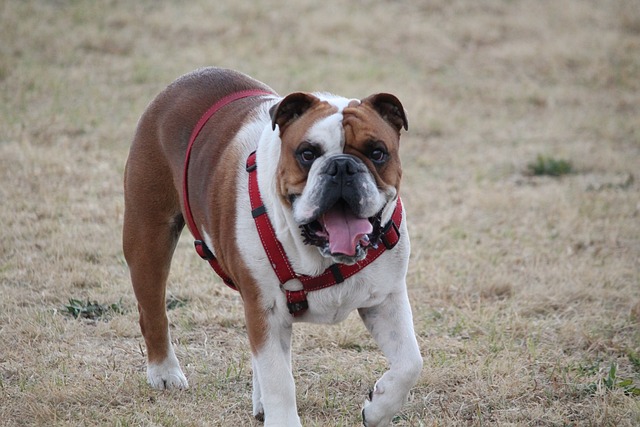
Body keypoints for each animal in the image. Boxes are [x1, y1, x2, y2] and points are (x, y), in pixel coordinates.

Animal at [122, 68, 422, 426]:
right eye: (307, 153)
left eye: (377, 152)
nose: (342, 166)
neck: (321, 257)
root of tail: (186, 80)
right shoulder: (266, 309)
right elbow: (279, 379)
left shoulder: (385, 300)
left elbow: (410, 362)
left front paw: (377, 409)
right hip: (148, 237)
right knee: (152, 312)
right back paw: (164, 373)